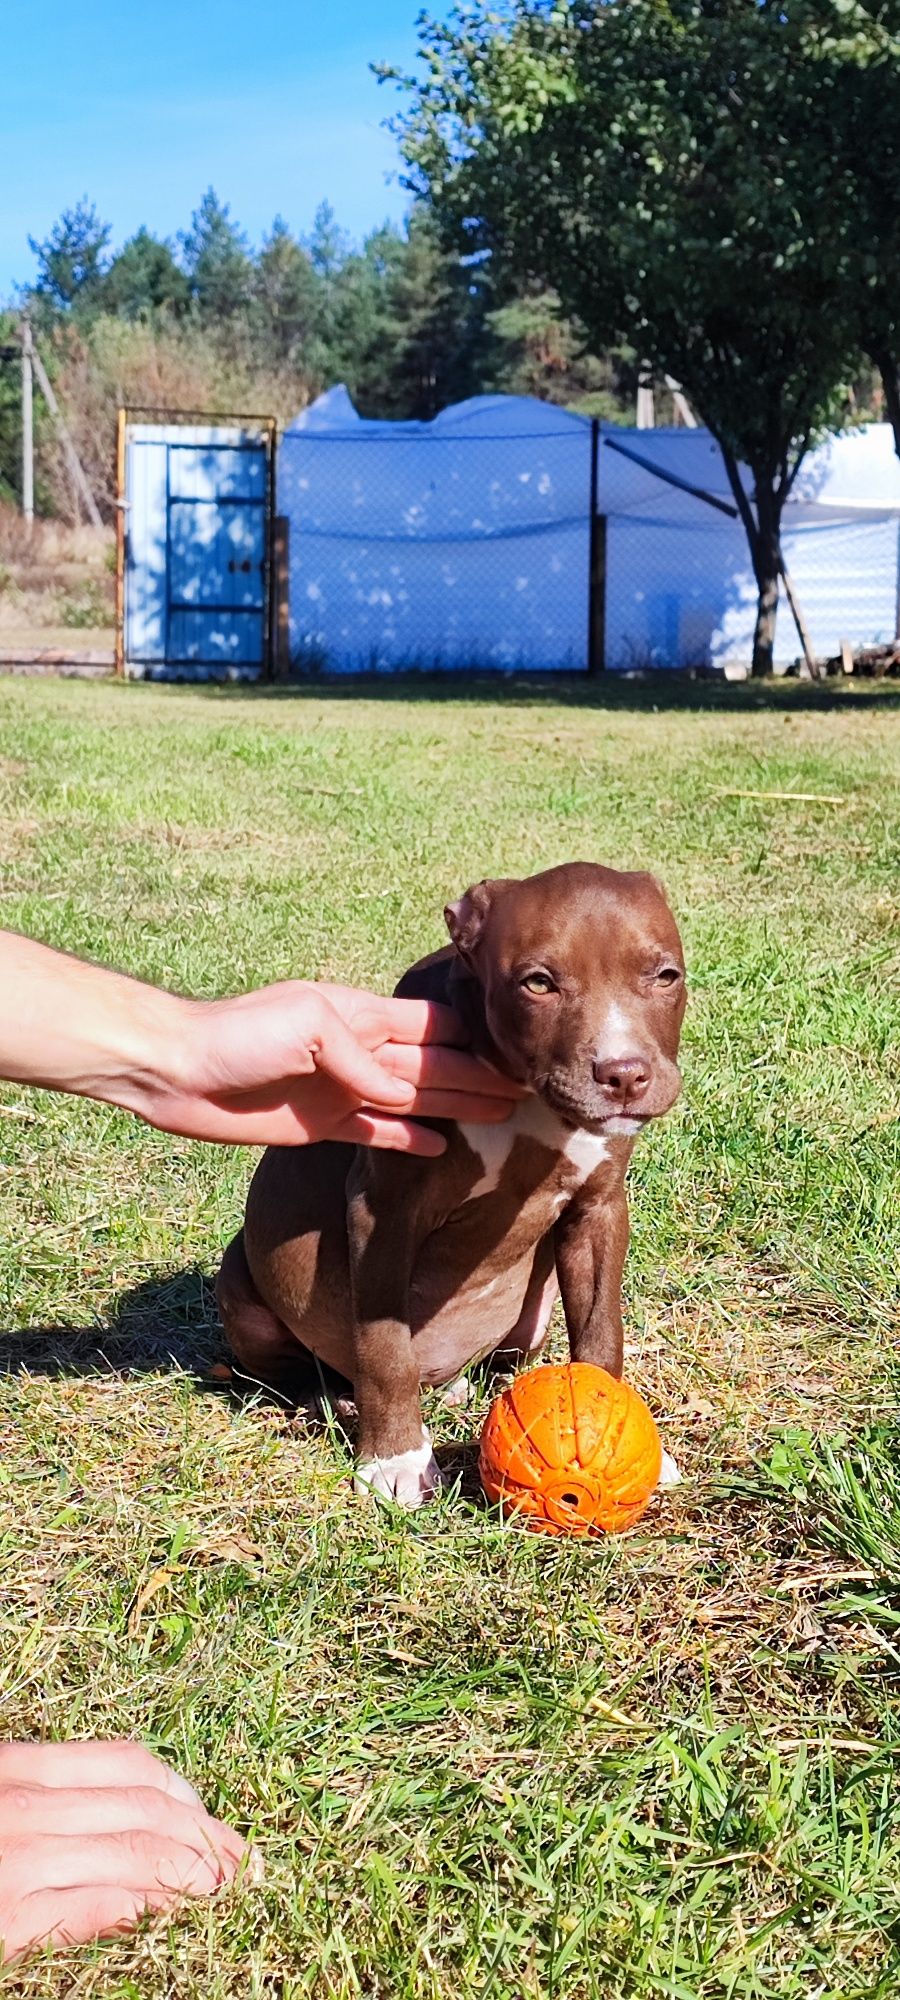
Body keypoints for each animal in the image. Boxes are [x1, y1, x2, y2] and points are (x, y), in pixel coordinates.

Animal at [214, 860, 684, 1504]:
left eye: (666, 976)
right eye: (538, 984)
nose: (625, 1074)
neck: (522, 1096)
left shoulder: (599, 1208)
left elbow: (600, 1327)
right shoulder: (383, 1212)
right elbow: (385, 1348)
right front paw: (396, 1459)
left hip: (530, 1321)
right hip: (244, 1283)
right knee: (296, 1368)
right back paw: (332, 1399)